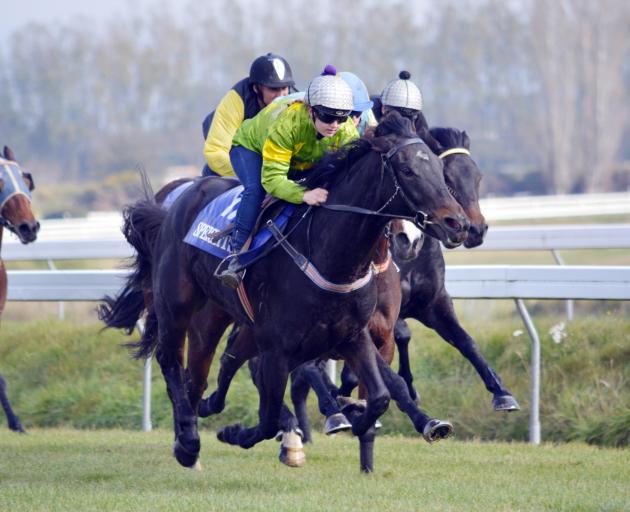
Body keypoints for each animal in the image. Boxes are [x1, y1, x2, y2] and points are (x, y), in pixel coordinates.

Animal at [115, 113, 470, 468]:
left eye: (440, 171)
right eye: (408, 171)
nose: (458, 224)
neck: (328, 255)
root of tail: (179, 199)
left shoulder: (354, 335)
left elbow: (381, 395)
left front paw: (359, 418)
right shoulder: (277, 349)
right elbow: (269, 417)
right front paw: (240, 433)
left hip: (231, 320)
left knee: (213, 369)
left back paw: (198, 420)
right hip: (177, 303)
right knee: (172, 360)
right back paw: (188, 443)